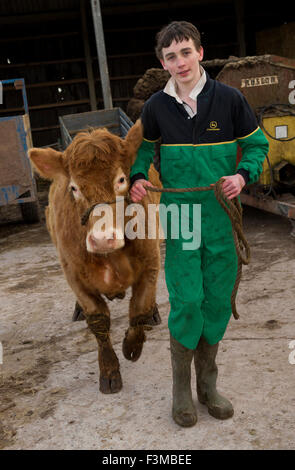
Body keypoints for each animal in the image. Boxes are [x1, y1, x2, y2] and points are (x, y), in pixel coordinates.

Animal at [29, 121, 163, 392]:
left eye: (121, 179)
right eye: (74, 188)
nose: (102, 239)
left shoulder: (150, 262)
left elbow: (139, 309)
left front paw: (131, 346)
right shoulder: (74, 275)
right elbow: (98, 320)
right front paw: (109, 370)